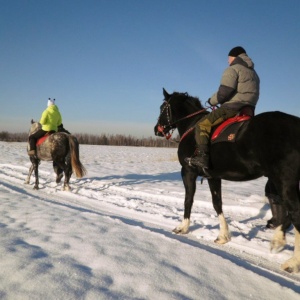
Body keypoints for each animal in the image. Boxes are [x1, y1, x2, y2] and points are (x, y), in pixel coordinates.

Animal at [155, 88, 300, 274]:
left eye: (162, 108)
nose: (157, 129)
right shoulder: (213, 176)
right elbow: (217, 203)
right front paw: (223, 236)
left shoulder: (187, 172)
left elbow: (188, 200)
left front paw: (183, 227)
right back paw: (279, 241)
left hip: (283, 181)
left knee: (296, 212)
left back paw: (292, 260)